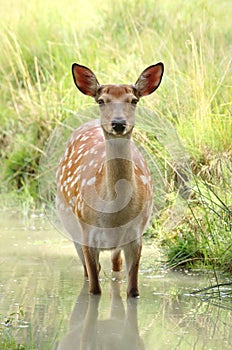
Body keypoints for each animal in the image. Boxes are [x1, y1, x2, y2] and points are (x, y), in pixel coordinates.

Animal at [56, 62, 163, 296]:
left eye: (134, 100)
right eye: (101, 100)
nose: (118, 123)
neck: (113, 216)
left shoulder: (135, 237)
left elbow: (133, 291)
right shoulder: (87, 235)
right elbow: (94, 289)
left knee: (116, 268)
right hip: (71, 224)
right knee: (88, 273)